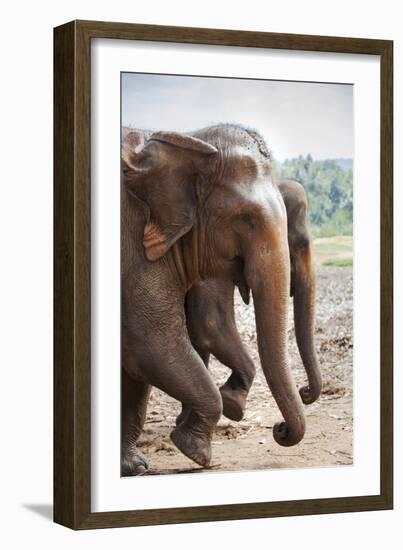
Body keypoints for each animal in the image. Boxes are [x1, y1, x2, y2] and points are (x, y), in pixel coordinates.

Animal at [121, 123, 308, 476]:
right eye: (246, 218)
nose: (279, 429)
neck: (189, 140)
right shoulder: (135, 248)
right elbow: (154, 339)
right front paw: (197, 452)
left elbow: (139, 360)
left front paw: (135, 466)